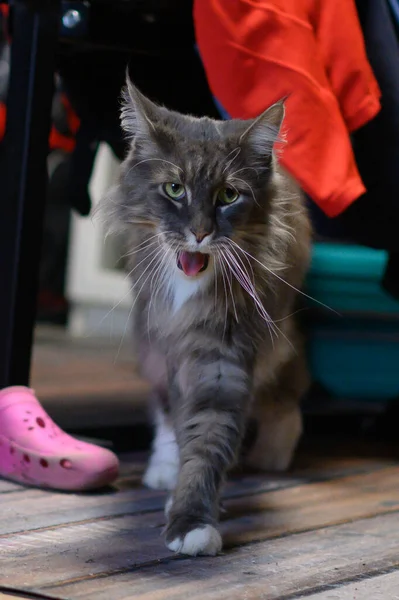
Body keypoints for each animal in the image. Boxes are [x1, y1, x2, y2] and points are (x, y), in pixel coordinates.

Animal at [101, 76, 312, 556]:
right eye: (174, 189)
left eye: (229, 195)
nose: (199, 232)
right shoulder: (168, 341)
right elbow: (182, 426)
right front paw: (181, 497)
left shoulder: (223, 356)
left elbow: (207, 438)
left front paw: (191, 522)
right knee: (163, 408)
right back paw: (163, 469)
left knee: (286, 397)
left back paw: (272, 454)